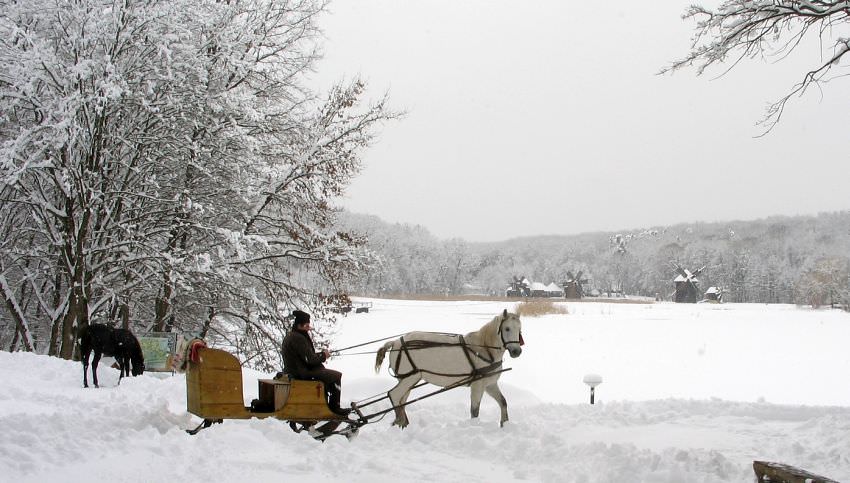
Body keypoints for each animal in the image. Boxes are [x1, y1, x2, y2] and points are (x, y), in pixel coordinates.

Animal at [372, 310, 520, 428]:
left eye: (519, 329)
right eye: (507, 328)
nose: (517, 351)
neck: (484, 349)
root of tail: (395, 342)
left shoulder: (490, 384)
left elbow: (503, 402)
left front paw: (504, 424)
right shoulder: (478, 385)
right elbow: (475, 411)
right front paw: (474, 426)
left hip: (406, 379)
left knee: (401, 401)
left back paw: (402, 423)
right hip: (410, 377)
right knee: (395, 395)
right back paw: (401, 421)